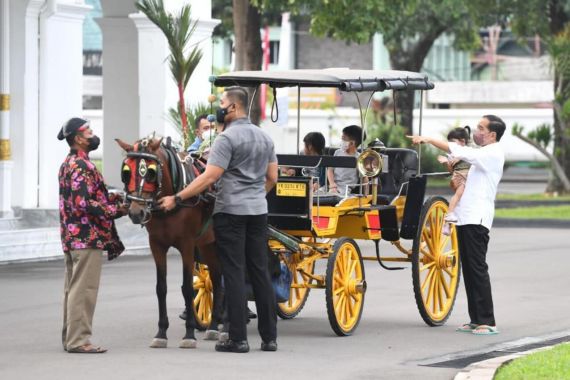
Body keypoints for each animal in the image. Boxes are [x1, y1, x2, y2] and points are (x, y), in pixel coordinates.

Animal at [115, 135, 222, 348]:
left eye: (151, 172)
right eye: (126, 171)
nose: (136, 212)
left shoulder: (187, 244)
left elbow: (187, 288)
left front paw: (189, 334)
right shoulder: (156, 245)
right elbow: (161, 288)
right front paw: (161, 332)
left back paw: (221, 325)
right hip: (207, 244)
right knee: (216, 279)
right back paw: (215, 324)